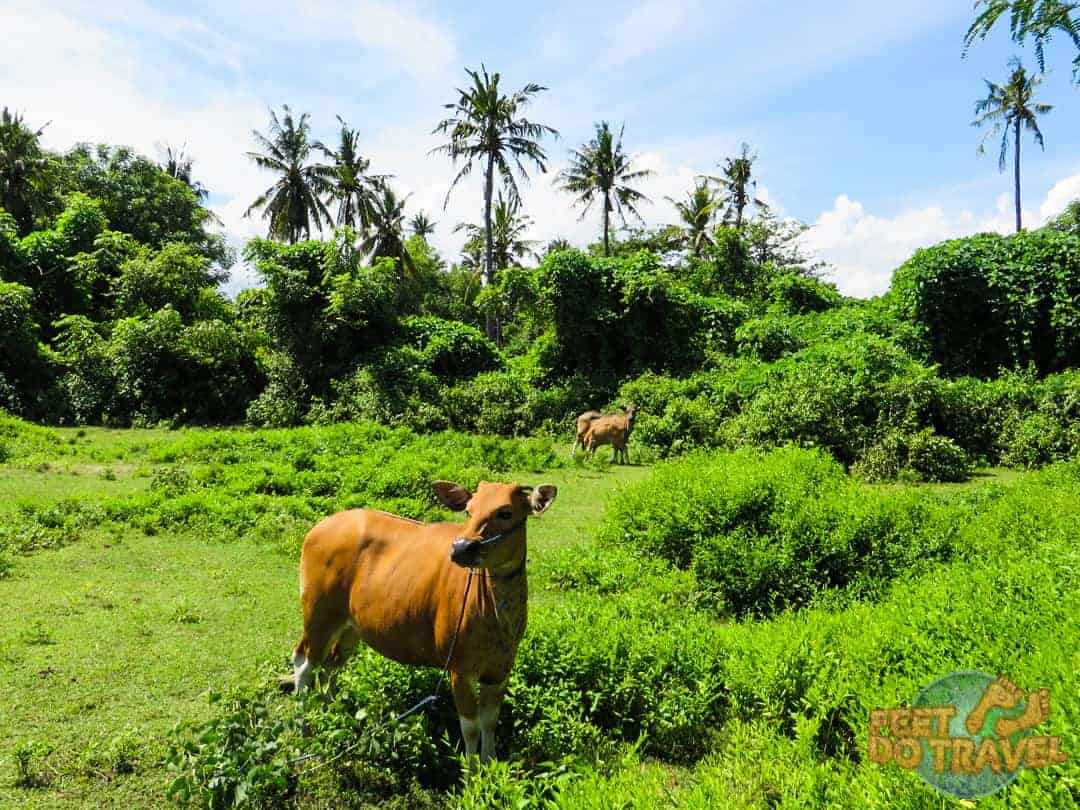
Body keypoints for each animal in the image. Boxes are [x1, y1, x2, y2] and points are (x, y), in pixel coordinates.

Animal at [285, 481, 557, 768]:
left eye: (505, 512)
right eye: (469, 511)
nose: (461, 548)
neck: (497, 617)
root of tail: (320, 526)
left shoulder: (500, 669)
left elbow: (490, 722)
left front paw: (489, 764)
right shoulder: (459, 669)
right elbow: (470, 727)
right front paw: (471, 773)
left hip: (350, 626)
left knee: (330, 667)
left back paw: (331, 714)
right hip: (319, 614)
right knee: (304, 663)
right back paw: (304, 731)